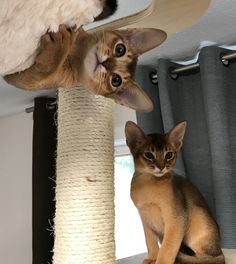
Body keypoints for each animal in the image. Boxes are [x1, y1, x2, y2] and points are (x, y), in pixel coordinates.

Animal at [3, 24, 166, 111]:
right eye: (120, 49)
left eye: (116, 80)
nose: (106, 63)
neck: (77, 54)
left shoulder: (26, 78)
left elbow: (50, 65)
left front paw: (60, 44)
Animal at [124, 121, 224, 264]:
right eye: (149, 155)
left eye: (169, 155)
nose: (161, 167)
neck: (149, 184)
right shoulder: (145, 219)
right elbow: (150, 242)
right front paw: (152, 258)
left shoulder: (176, 219)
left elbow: (167, 248)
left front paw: (160, 261)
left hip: (199, 215)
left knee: (214, 258)